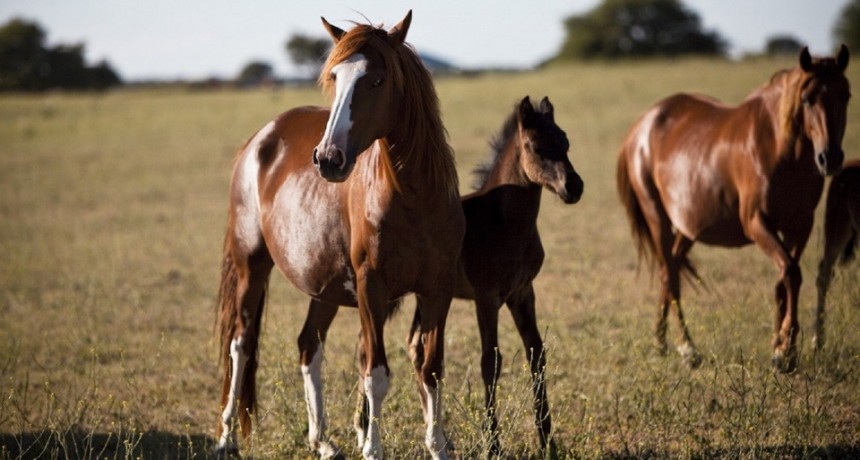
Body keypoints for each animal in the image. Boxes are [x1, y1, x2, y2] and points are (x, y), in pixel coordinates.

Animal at [217, 11, 470, 460]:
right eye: (335, 77)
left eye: (378, 80)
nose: (328, 159)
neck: (413, 199)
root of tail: (260, 139)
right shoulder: (372, 287)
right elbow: (376, 372)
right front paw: (372, 448)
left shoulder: (437, 290)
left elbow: (431, 369)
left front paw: (438, 445)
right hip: (252, 267)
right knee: (240, 345)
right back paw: (226, 437)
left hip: (326, 287)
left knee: (308, 346)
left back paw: (321, 441)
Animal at [346, 94, 580, 456]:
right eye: (537, 146)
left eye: (565, 142)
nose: (574, 187)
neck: (505, 221)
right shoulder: (487, 298)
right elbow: (490, 363)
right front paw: (493, 444)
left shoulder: (522, 292)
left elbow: (536, 354)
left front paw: (548, 441)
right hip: (387, 294)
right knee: (366, 350)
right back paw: (365, 430)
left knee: (412, 348)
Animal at [620, 45, 848, 372]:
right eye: (808, 98)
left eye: (846, 95)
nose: (830, 158)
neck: (779, 150)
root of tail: (640, 127)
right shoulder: (757, 223)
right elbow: (791, 273)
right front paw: (785, 351)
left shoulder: (800, 225)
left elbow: (783, 280)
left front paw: (779, 346)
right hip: (657, 217)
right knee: (671, 276)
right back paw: (687, 348)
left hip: (688, 228)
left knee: (669, 269)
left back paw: (661, 342)